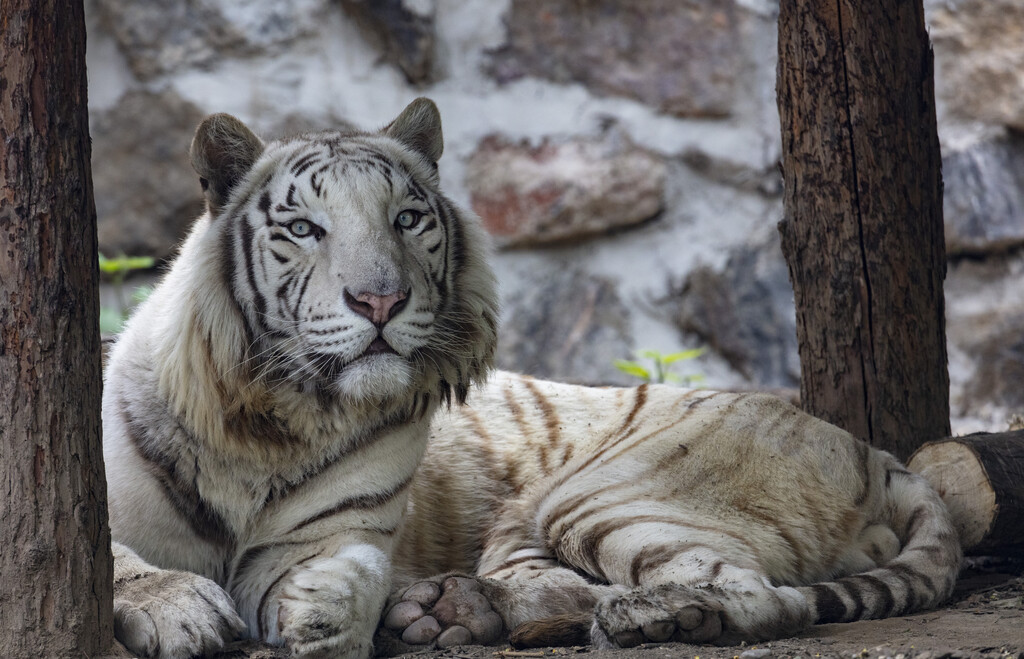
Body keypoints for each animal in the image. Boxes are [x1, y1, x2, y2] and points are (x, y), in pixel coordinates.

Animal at [108, 97, 962, 659]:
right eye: (302, 228)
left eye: (406, 219)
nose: (380, 299)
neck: (271, 419)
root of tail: (874, 451)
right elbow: (118, 558)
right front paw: (180, 608)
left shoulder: (323, 535)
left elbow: (346, 567)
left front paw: (328, 615)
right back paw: (450, 610)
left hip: (593, 495)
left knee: (761, 597)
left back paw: (645, 618)